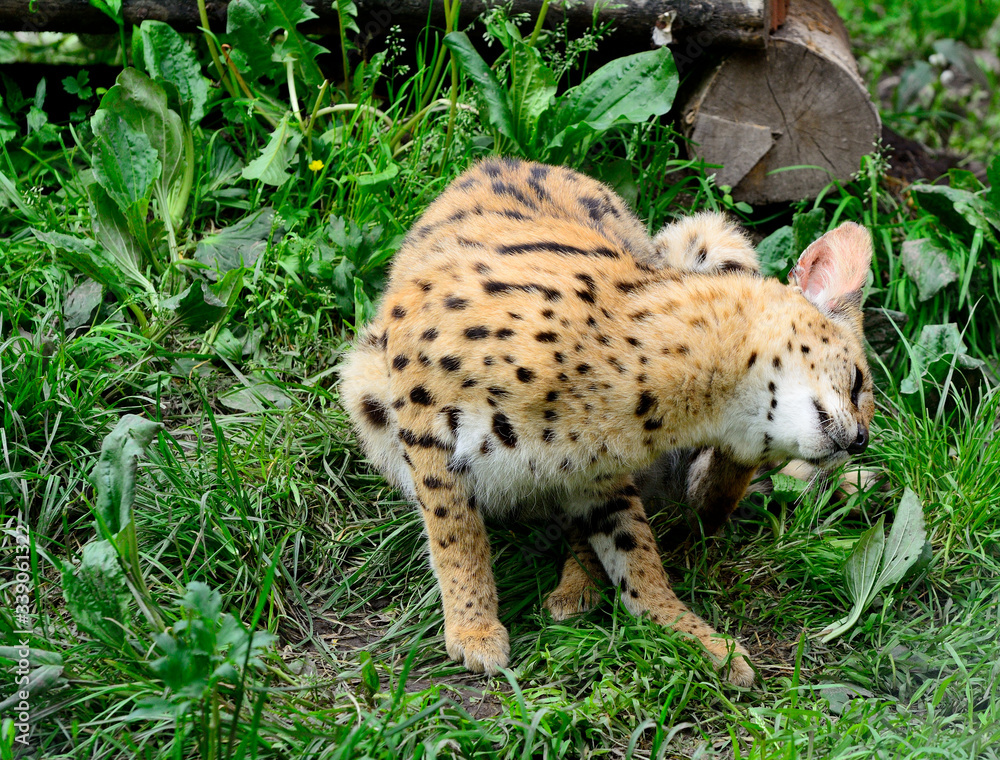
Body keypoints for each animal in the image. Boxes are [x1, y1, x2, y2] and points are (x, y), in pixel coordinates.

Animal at [339, 157, 875, 687]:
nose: (862, 441)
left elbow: (636, 554)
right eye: (857, 382)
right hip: (363, 385)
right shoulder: (421, 402)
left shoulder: (597, 473)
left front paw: (693, 637)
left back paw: (578, 588)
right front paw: (473, 627)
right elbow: (454, 530)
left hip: (710, 236)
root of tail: (505, 159)